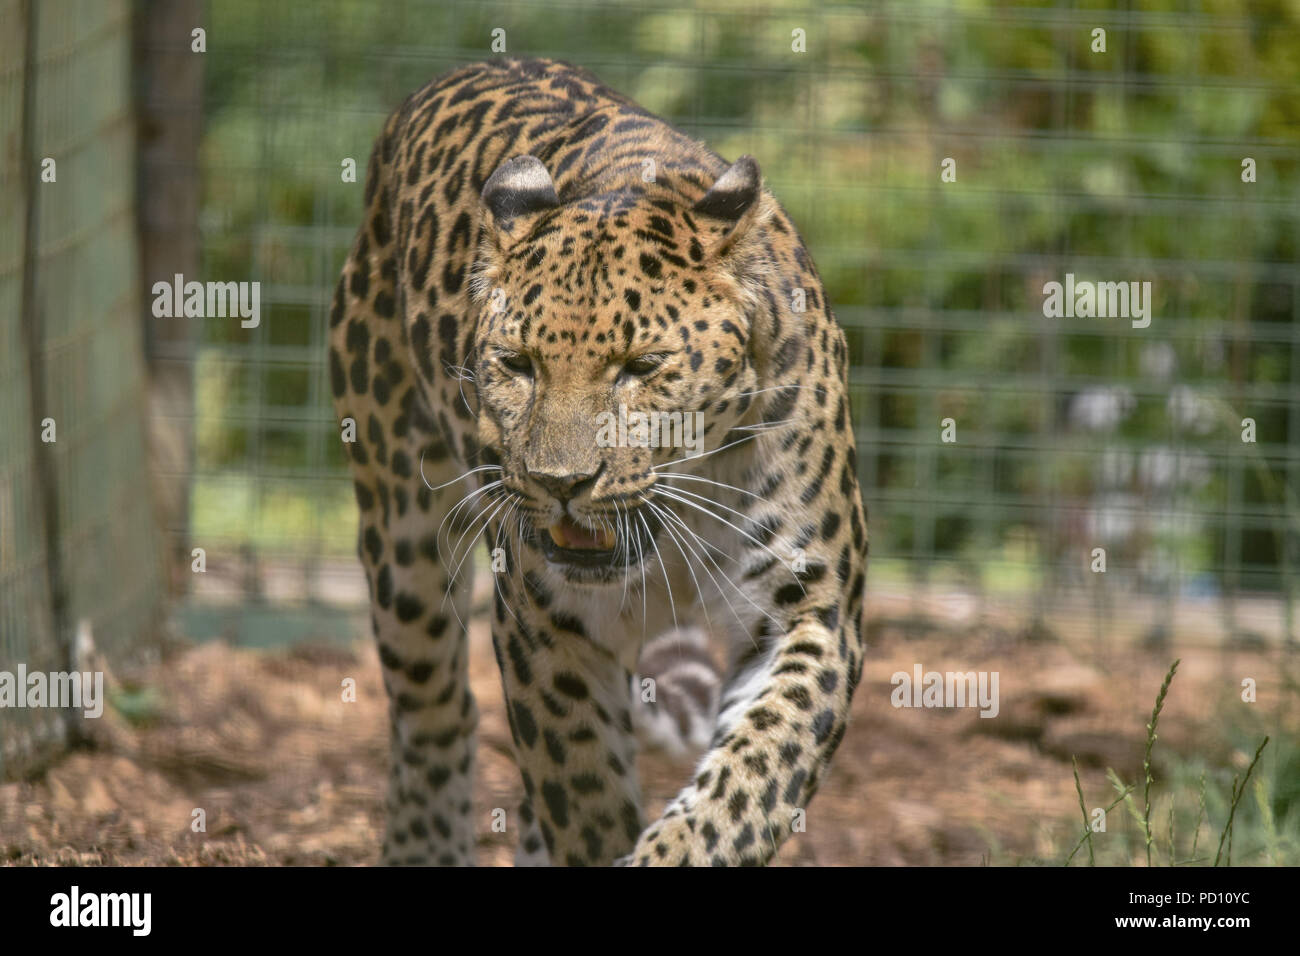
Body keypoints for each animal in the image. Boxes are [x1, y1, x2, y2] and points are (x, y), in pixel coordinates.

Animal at [329, 56, 868, 866]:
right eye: (517, 365)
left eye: (641, 367)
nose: (560, 484)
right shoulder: (539, 621)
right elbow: (582, 791)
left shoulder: (812, 611)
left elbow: (745, 787)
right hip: (399, 528)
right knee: (434, 711)